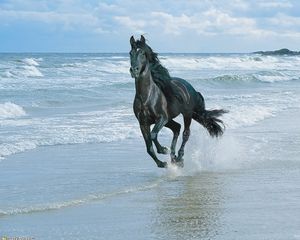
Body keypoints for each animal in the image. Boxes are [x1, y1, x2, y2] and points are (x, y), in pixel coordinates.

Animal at [129, 35, 227, 168]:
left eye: (143, 53)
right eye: (130, 53)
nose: (134, 70)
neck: (146, 97)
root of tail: (190, 88)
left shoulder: (162, 118)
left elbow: (153, 135)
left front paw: (163, 150)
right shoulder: (143, 123)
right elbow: (149, 147)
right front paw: (162, 163)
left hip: (186, 114)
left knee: (185, 133)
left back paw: (179, 157)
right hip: (170, 120)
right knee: (177, 128)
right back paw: (174, 157)